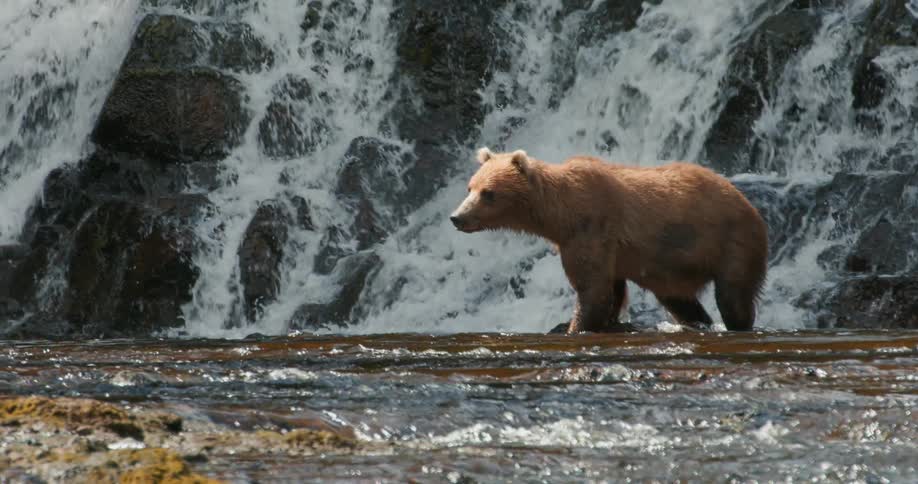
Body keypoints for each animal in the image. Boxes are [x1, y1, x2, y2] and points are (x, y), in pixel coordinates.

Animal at [449, 148, 768, 333]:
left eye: (488, 193)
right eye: (470, 187)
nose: (457, 217)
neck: (559, 215)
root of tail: (746, 202)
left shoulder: (590, 229)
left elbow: (592, 289)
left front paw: (575, 326)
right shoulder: (604, 248)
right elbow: (612, 289)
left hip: (730, 240)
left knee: (733, 294)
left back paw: (737, 323)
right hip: (671, 265)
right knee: (679, 300)